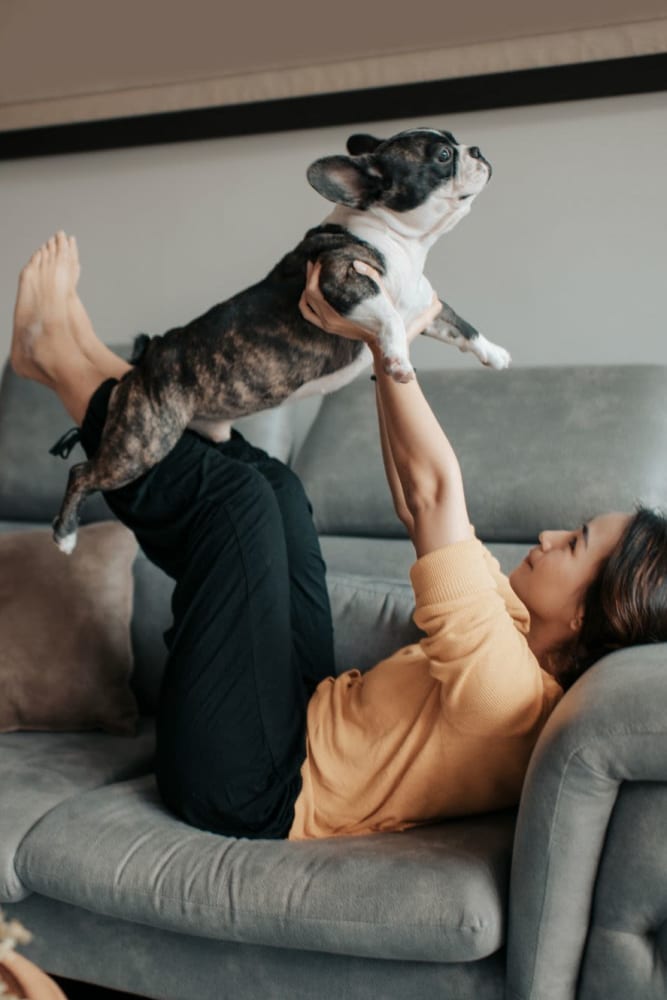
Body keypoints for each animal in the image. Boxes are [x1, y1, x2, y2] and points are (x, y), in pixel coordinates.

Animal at [52, 125, 512, 552]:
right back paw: (65, 536)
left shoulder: (423, 306)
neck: (400, 241)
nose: (477, 150)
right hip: (142, 444)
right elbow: (390, 320)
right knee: (83, 472)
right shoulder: (341, 280)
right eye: (442, 155)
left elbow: (461, 324)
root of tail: (144, 359)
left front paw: (495, 353)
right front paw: (398, 360)